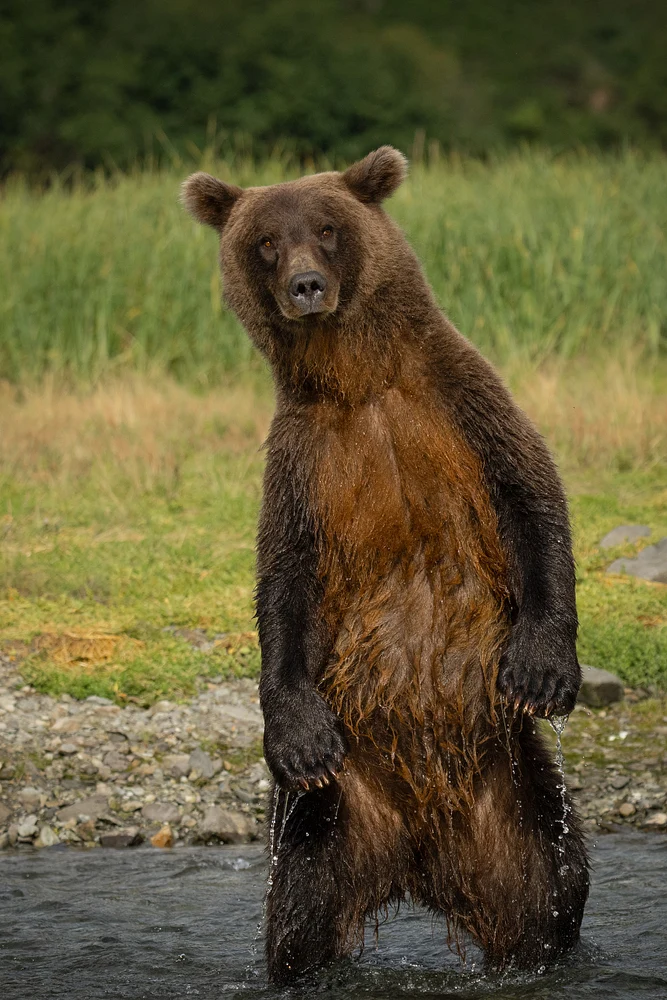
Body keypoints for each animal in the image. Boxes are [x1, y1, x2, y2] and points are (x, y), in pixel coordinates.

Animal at [182, 146, 589, 985]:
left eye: (327, 229)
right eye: (266, 241)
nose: (305, 285)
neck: (360, 379)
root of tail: (419, 853)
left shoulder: (460, 406)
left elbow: (533, 499)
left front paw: (540, 668)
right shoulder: (303, 466)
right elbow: (283, 583)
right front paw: (295, 736)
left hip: (517, 802)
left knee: (552, 894)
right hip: (329, 822)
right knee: (297, 922)